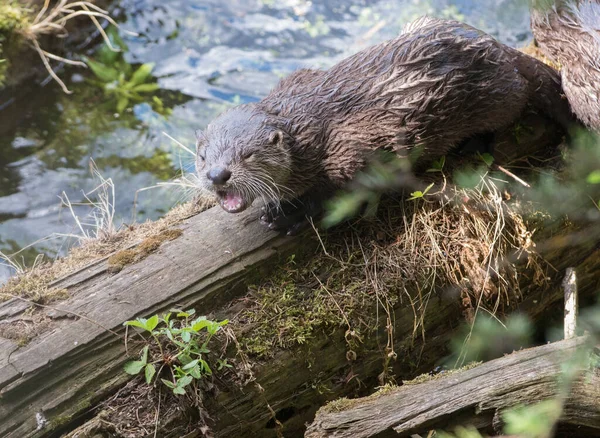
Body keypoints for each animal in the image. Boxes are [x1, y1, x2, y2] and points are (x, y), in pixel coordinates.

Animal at [197, 17, 572, 233]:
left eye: (248, 155)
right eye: (203, 158)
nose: (218, 174)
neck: (305, 134)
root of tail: (501, 50)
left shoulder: (352, 156)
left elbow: (339, 196)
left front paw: (288, 217)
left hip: (497, 95)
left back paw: (474, 146)